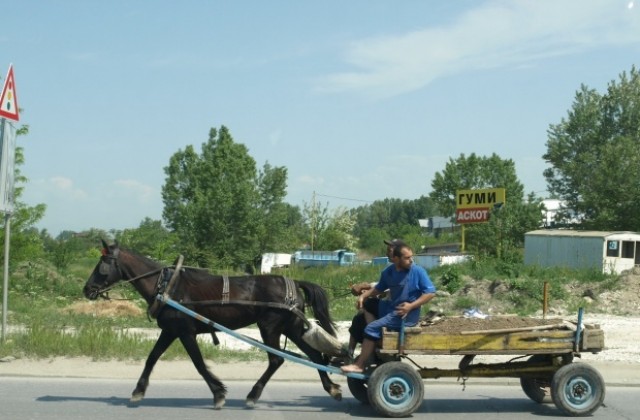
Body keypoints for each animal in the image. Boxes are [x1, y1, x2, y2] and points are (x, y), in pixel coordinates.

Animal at [82, 241, 342, 408]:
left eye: (103, 264)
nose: (87, 289)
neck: (167, 287)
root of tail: (294, 282)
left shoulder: (185, 332)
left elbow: (198, 363)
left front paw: (218, 393)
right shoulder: (170, 331)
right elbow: (152, 358)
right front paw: (138, 390)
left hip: (270, 327)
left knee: (277, 360)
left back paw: (253, 395)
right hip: (292, 327)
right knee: (315, 355)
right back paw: (331, 388)